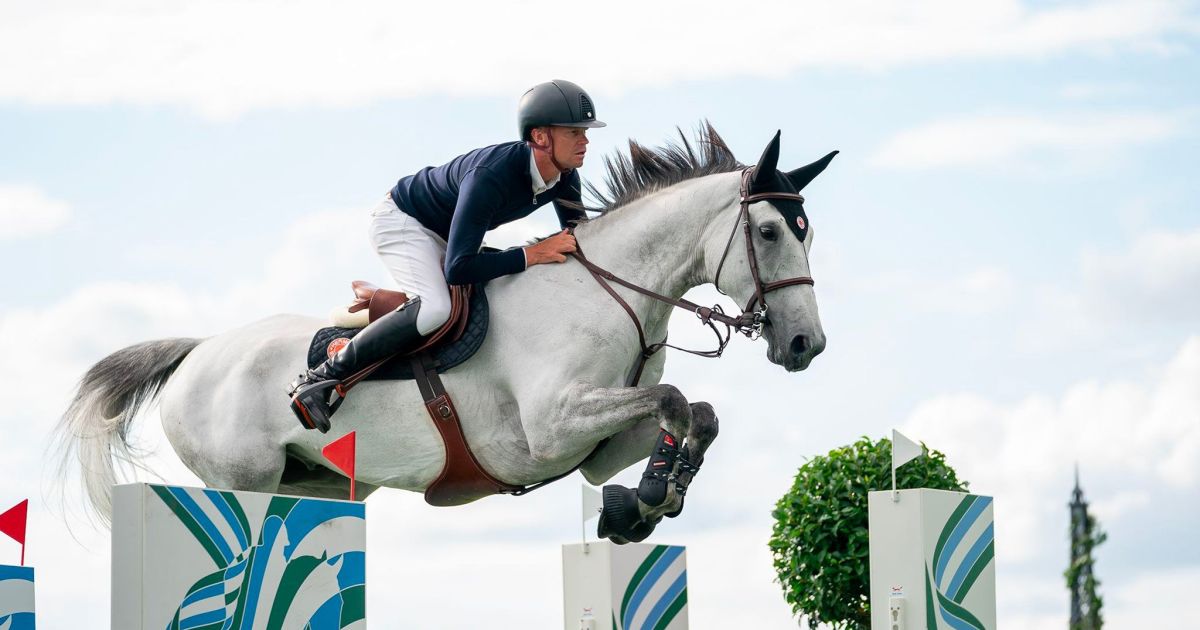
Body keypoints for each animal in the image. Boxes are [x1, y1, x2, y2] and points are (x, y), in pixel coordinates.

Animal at [56, 123, 835, 540]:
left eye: (805, 231)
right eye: (770, 232)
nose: (807, 347)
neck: (607, 293)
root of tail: (198, 352)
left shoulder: (594, 448)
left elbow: (694, 412)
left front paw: (646, 500)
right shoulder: (551, 428)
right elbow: (675, 400)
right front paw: (649, 501)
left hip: (313, 487)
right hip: (242, 482)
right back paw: (316, 386)